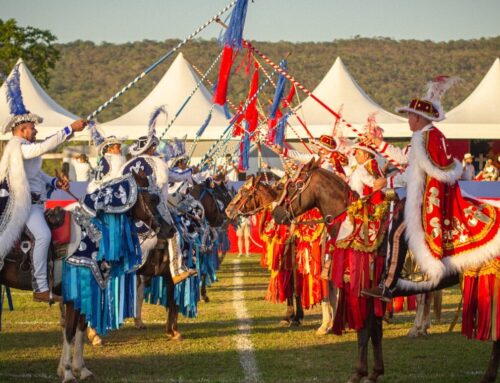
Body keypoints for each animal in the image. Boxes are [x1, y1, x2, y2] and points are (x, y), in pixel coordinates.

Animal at [0, 172, 172, 383]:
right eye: (153, 199)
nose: (170, 230)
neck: (91, 233)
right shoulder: (73, 297)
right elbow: (70, 332)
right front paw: (67, 373)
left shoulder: (86, 293)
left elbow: (80, 330)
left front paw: (80, 369)